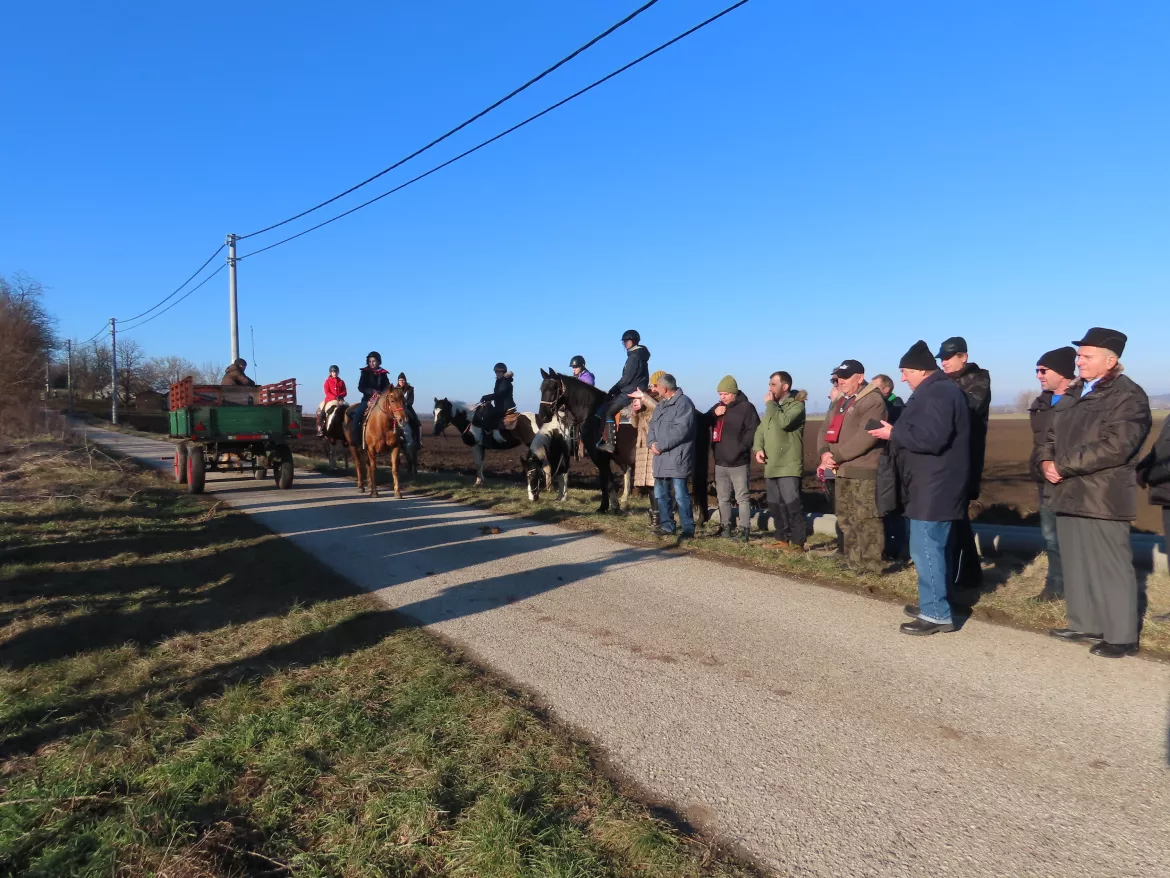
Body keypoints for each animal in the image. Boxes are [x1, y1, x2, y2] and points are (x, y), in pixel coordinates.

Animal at [540, 367, 711, 519]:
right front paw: (611, 506)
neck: (592, 412)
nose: (543, 416)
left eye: (554, 388)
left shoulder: (599, 457)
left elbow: (606, 482)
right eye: (541, 388)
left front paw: (608, 507)